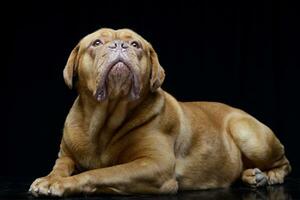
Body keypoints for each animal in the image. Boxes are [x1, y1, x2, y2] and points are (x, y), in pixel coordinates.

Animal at [28, 28, 290, 197]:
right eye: (97, 43)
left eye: (136, 45)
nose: (119, 45)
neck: (104, 120)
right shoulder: (65, 156)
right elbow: (60, 167)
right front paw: (51, 179)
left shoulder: (153, 165)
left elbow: (101, 173)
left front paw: (64, 184)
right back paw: (252, 175)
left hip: (248, 134)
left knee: (284, 162)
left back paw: (269, 176)